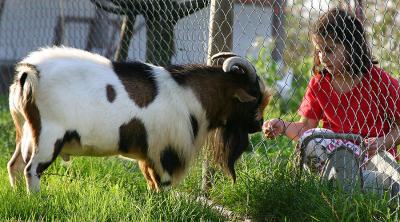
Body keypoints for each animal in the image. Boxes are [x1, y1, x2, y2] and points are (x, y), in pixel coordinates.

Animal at [7, 46, 272, 193]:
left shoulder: (148, 155)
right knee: (31, 170)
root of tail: (29, 73)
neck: (189, 94)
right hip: (48, 136)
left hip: (25, 133)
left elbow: (151, 185)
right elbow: (162, 186)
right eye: (255, 98)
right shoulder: (164, 153)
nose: (260, 125)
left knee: (14, 166)